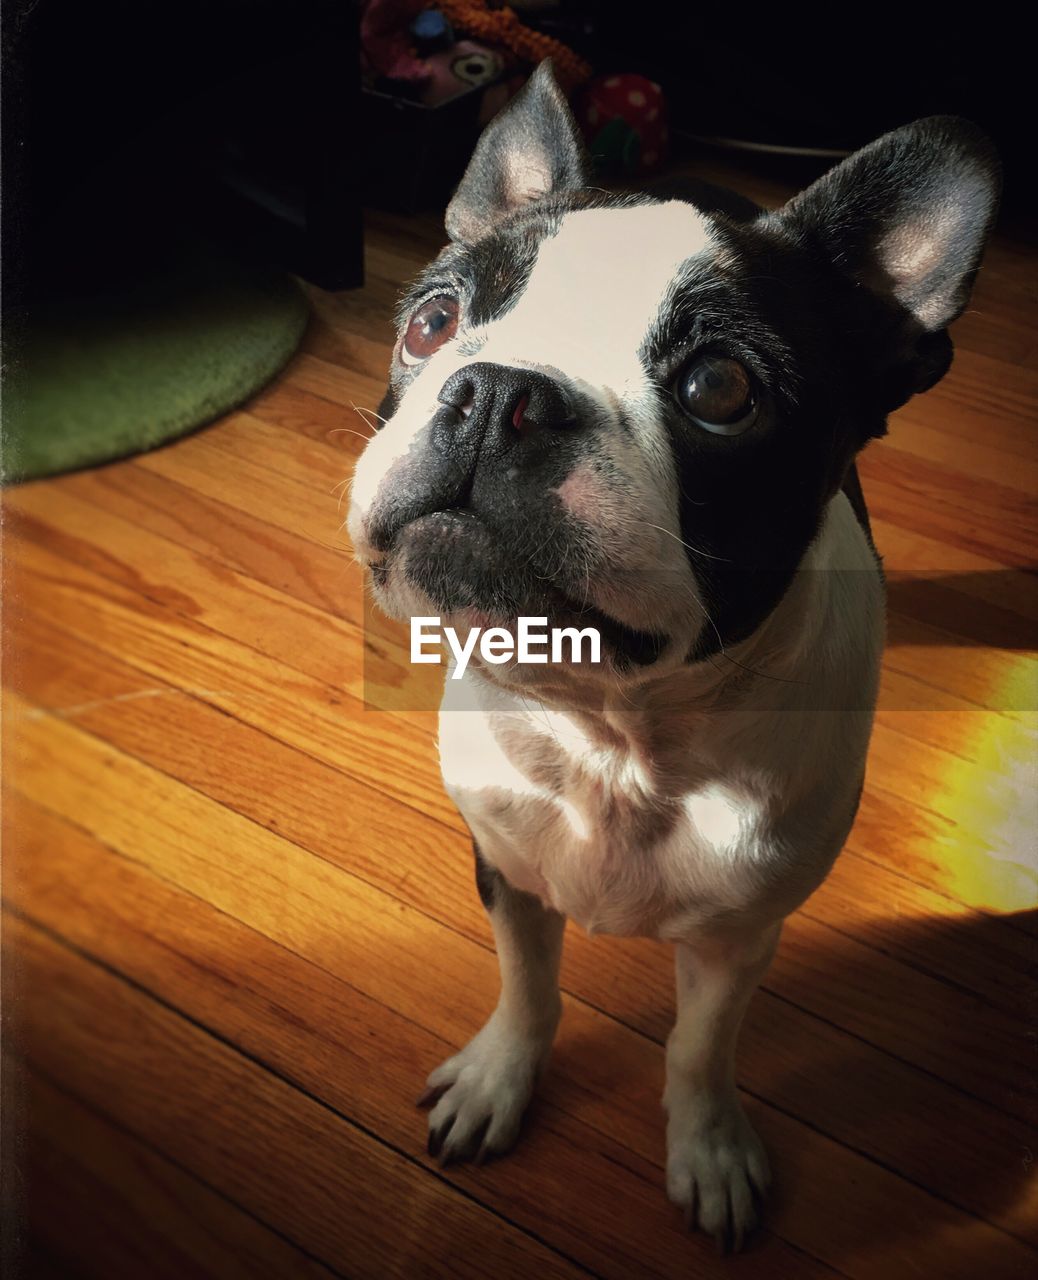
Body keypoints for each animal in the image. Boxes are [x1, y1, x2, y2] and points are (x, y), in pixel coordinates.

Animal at [348, 62, 998, 1249]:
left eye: (719, 390)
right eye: (432, 320)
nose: (495, 391)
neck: (615, 734)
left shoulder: (743, 934)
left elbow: (701, 1046)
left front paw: (709, 1149)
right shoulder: (507, 871)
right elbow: (529, 988)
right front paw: (500, 1078)